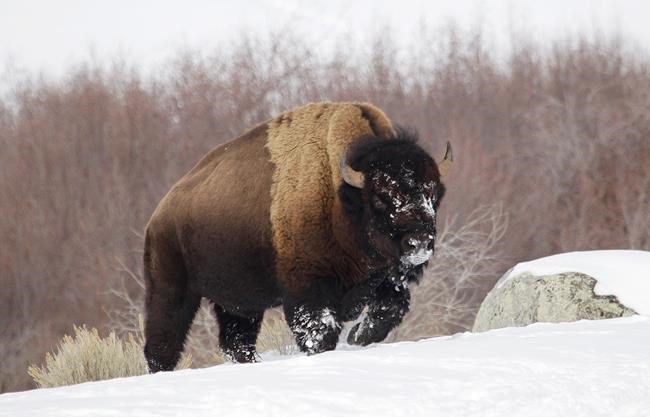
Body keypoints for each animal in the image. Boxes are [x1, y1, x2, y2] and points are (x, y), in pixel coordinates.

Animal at [143, 102, 452, 372]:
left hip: (238, 305)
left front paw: (357, 337)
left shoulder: (388, 279)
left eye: (431, 192)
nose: (419, 242)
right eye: (380, 196)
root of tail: (158, 215)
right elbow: (319, 332)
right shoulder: (309, 289)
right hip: (171, 290)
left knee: (236, 342)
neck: (342, 199)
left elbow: (390, 308)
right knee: (162, 343)